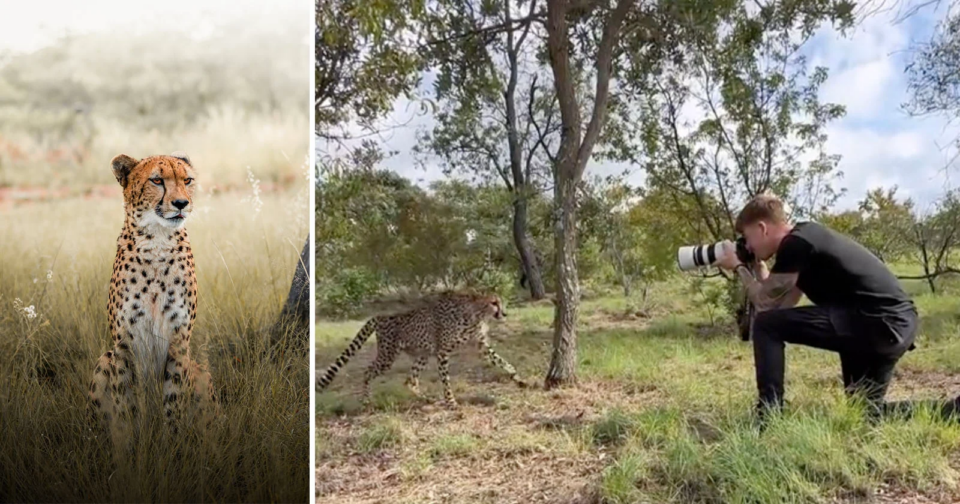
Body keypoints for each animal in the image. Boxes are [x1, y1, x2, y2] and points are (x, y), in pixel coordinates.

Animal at [89, 153, 218, 444]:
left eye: (187, 180)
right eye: (157, 181)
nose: (181, 203)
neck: (157, 241)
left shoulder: (179, 341)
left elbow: (173, 402)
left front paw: (173, 445)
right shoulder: (123, 345)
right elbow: (125, 406)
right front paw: (129, 448)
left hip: (201, 372)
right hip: (105, 358)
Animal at [316, 292, 524, 406]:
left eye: (500, 302)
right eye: (494, 303)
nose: (504, 313)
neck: (474, 314)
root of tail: (379, 316)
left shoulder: (480, 345)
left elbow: (502, 361)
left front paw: (518, 378)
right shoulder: (442, 352)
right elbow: (446, 381)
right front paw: (451, 402)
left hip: (422, 354)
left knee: (409, 380)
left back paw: (425, 399)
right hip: (388, 355)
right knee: (368, 371)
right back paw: (366, 399)